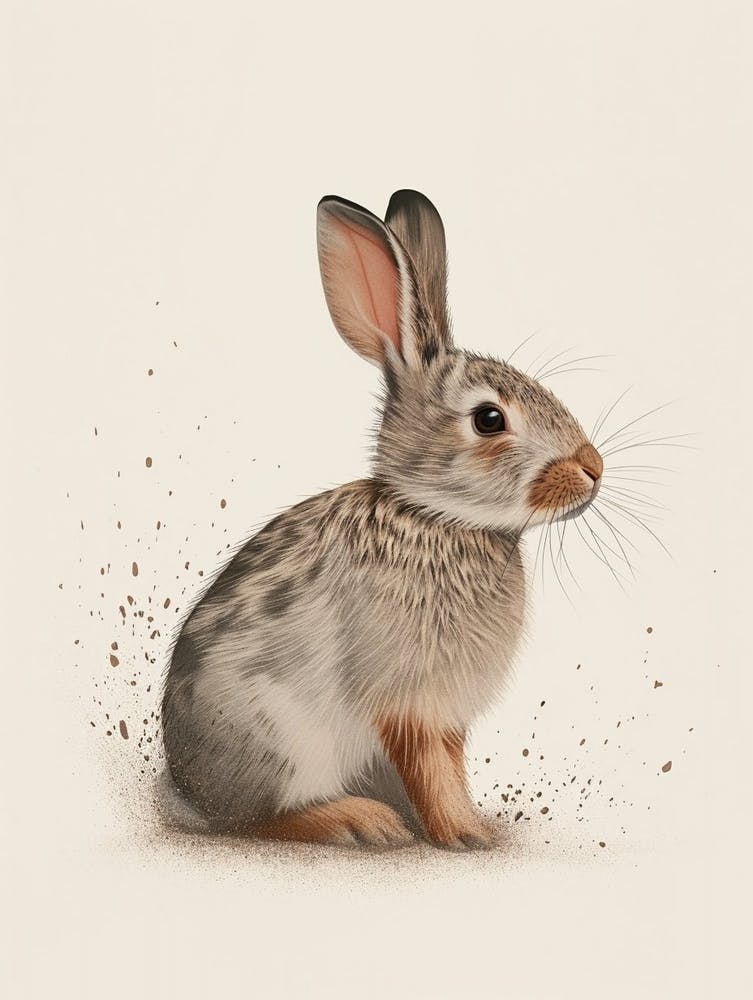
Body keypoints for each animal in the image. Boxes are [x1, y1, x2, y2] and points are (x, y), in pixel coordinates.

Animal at [161, 189, 604, 850]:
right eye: (489, 420)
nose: (593, 468)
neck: (438, 517)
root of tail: (186, 786)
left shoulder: (445, 713)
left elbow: (447, 765)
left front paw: (475, 823)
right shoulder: (408, 699)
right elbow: (428, 769)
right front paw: (466, 837)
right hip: (283, 742)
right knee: (257, 820)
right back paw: (358, 821)